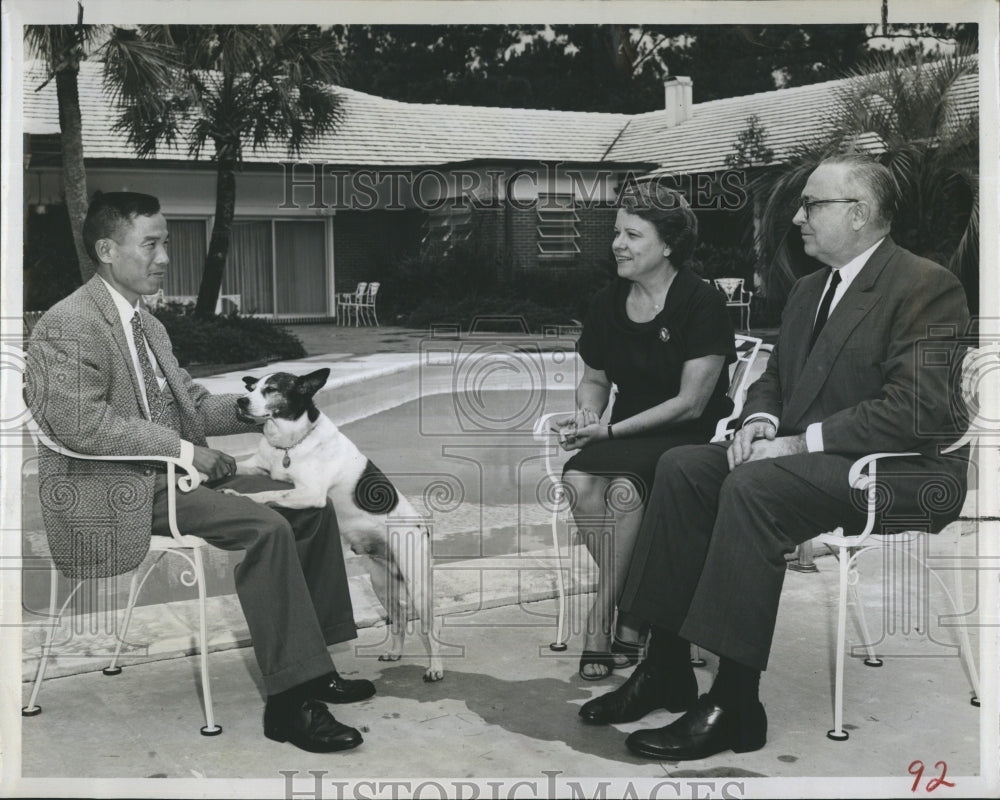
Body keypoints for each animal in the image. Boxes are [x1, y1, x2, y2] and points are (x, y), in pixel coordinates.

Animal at [229, 368, 448, 680]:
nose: (240, 401)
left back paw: (435, 667)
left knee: (430, 629)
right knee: (399, 620)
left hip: (417, 585)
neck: (289, 444)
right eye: (252, 387)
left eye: (271, 389)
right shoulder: (257, 466)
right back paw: (395, 652)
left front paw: (240, 495)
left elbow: (266, 494)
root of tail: (422, 528)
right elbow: (234, 465)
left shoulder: (311, 493)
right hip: (382, 586)